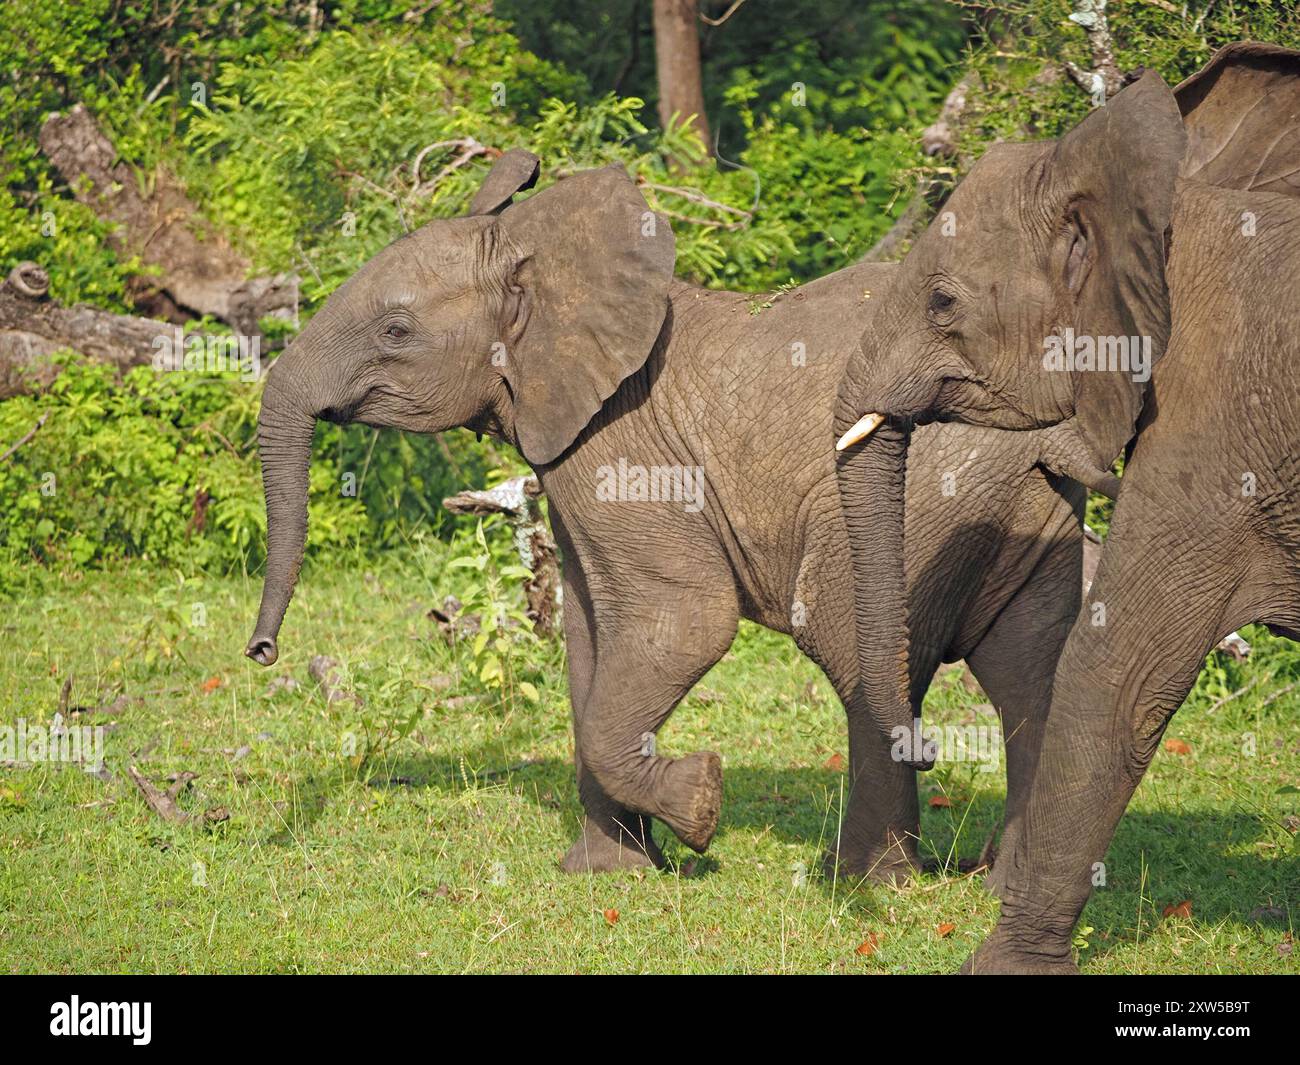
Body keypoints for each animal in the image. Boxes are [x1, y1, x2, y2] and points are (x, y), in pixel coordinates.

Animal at [244, 150, 1086, 884]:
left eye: (395, 332)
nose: (261, 651)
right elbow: (590, 635)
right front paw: (607, 871)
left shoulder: (623, 447)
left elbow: (683, 617)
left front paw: (702, 805)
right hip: (1021, 514)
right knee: (1027, 679)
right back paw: (995, 878)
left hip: (929, 494)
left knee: (851, 643)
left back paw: (866, 881)